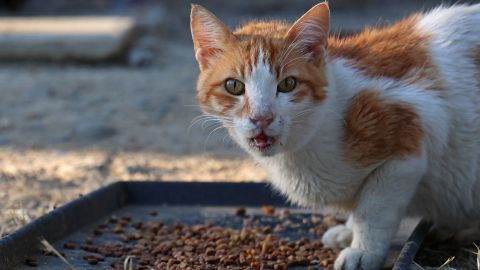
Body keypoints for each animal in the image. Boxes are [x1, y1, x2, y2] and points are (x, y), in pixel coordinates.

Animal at [189, 2, 478, 270]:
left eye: (288, 84)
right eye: (234, 86)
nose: (262, 117)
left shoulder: (410, 134)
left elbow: (373, 209)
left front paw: (363, 250)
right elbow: (361, 206)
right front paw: (348, 231)